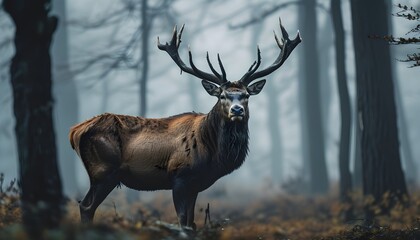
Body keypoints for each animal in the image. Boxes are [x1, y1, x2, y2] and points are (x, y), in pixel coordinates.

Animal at [69, 18, 300, 229]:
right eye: (222, 96)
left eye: (246, 96)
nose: (237, 110)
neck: (212, 154)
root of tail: (75, 132)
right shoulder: (180, 176)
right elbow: (182, 222)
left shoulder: (195, 184)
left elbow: (192, 222)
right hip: (104, 170)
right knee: (87, 206)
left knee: (84, 205)